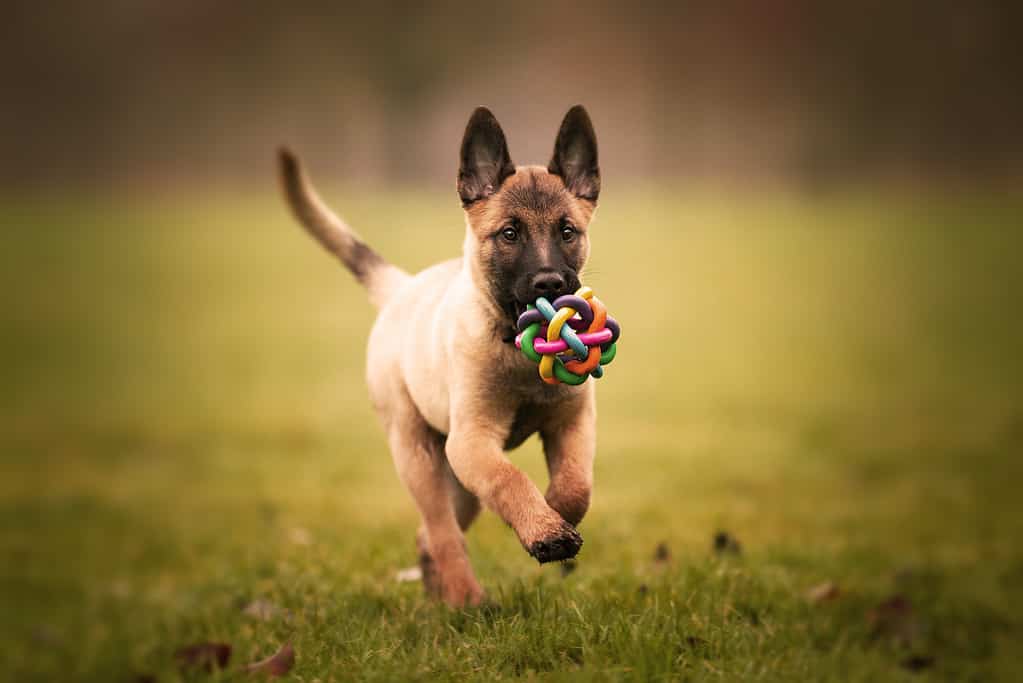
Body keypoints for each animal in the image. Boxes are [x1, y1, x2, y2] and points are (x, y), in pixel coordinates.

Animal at [276, 106, 601, 609]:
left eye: (567, 232)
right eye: (510, 234)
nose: (549, 283)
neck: (517, 351)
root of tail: (402, 287)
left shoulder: (572, 422)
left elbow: (575, 485)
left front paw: (553, 514)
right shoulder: (473, 440)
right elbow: (509, 480)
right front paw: (545, 530)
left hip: (458, 482)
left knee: (431, 536)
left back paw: (441, 596)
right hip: (420, 456)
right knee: (443, 532)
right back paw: (468, 600)